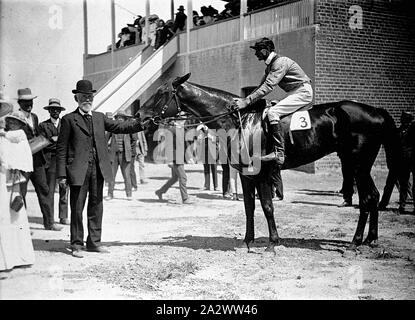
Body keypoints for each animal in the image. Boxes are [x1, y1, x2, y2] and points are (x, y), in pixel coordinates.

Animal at [138, 72, 404, 252]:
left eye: (161, 93)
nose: (139, 115)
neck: (241, 120)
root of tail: (377, 112)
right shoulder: (246, 174)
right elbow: (249, 207)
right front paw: (247, 241)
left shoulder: (262, 173)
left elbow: (266, 206)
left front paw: (272, 243)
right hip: (361, 165)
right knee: (373, 197)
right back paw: (371, 239)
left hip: (357, 164)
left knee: (367, 199)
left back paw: (355, 242)